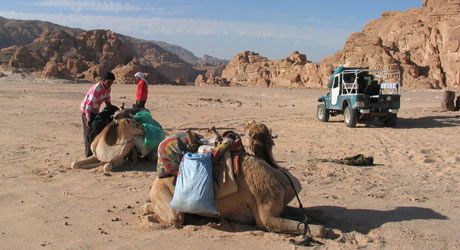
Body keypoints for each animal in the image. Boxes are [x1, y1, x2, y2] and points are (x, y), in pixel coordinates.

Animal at [143, 122, 328, 237]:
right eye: (250, 134)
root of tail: (156, 180)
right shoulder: (266, 217)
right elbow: (316, 229)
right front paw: (322, 230)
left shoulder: (281, 207)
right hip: (162, 191)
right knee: (174, 217)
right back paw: (146, 209)